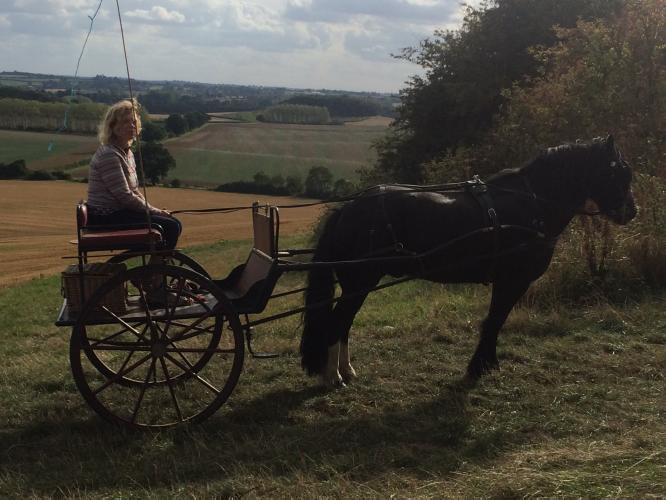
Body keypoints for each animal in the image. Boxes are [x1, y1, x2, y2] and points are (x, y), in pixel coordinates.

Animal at [300, 136, 637, 386]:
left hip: (358, 283)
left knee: (344, 324)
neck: (532, 203)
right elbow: (495, 319)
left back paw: (347, 371)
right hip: (361, 280)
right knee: (337, 323)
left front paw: (485, 363)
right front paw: (480, 366)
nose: (631, 211)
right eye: (618, 171)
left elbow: (495, 320)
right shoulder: (513, 279)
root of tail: (348, 209)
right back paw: (333, 377)